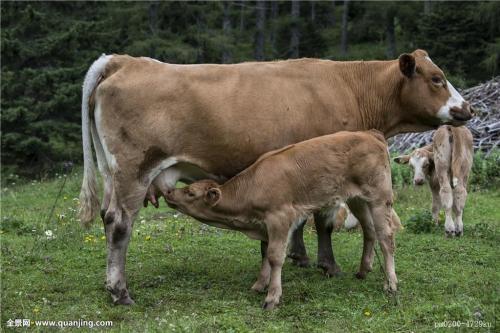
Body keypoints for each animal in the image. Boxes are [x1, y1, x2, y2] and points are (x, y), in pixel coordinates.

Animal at [165, 130, 402, 308]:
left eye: (190, 192)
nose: (168, 192)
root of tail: (369, 134)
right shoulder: (265, 225)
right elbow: (264, 255)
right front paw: (259, 284)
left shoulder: (279, 218)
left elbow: (274, 256)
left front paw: (272, 296)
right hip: (357, 199)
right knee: (369, 230)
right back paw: (363, 270)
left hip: (379, 198)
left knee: (386, 238)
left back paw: (390, 284)